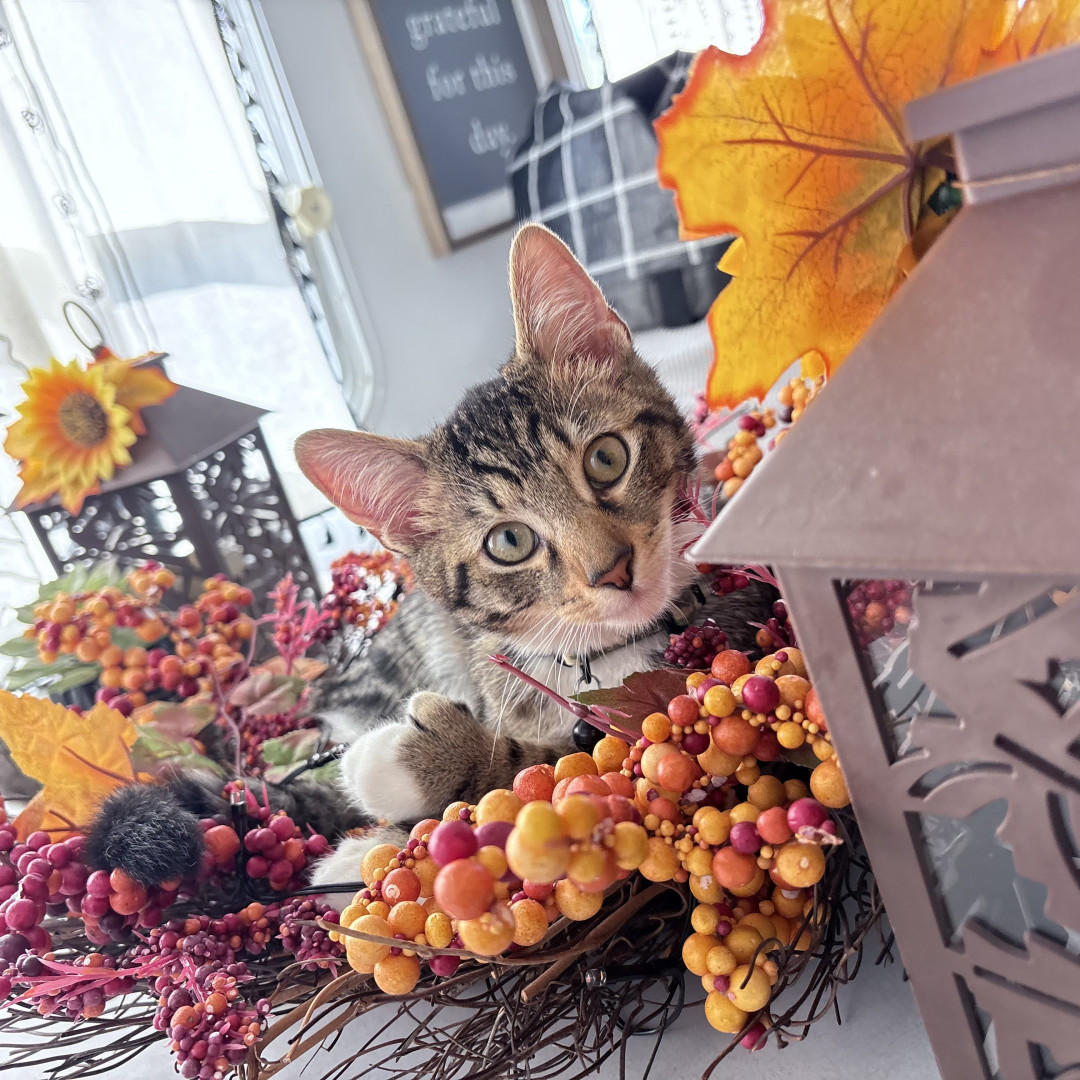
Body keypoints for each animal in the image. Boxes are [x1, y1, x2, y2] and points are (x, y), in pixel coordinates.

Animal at [86, 224, 770, 902]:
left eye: (607, 458)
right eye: (509, 542)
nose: (614, 569)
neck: (602, 659)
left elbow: (563, 773)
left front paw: (419, 768)